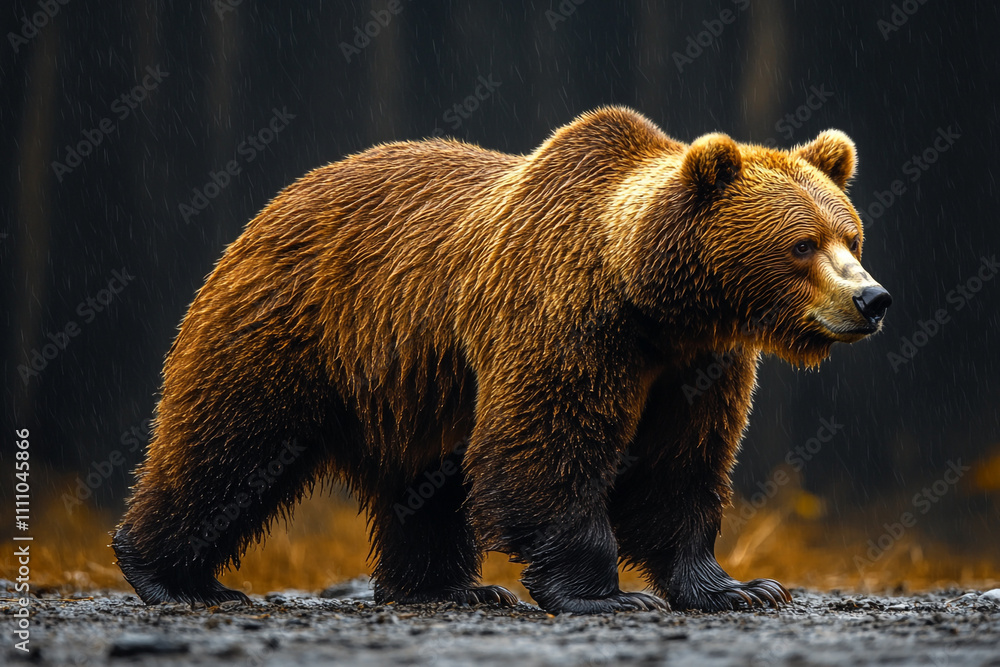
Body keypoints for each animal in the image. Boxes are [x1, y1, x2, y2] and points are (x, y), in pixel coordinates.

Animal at [113, 106, 890, 614]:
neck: (652, 301)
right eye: (802, 244)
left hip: (414, 383)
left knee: (425, 481)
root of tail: (273, 204)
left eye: (851, 234)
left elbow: (680, 469)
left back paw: (451, 588)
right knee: (230, 445)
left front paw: (741, 587)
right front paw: (606, 595)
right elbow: (546, 445)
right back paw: (170, 575)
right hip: (292, 329)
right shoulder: (565, 323)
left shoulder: (697, 368)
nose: (872, 298)